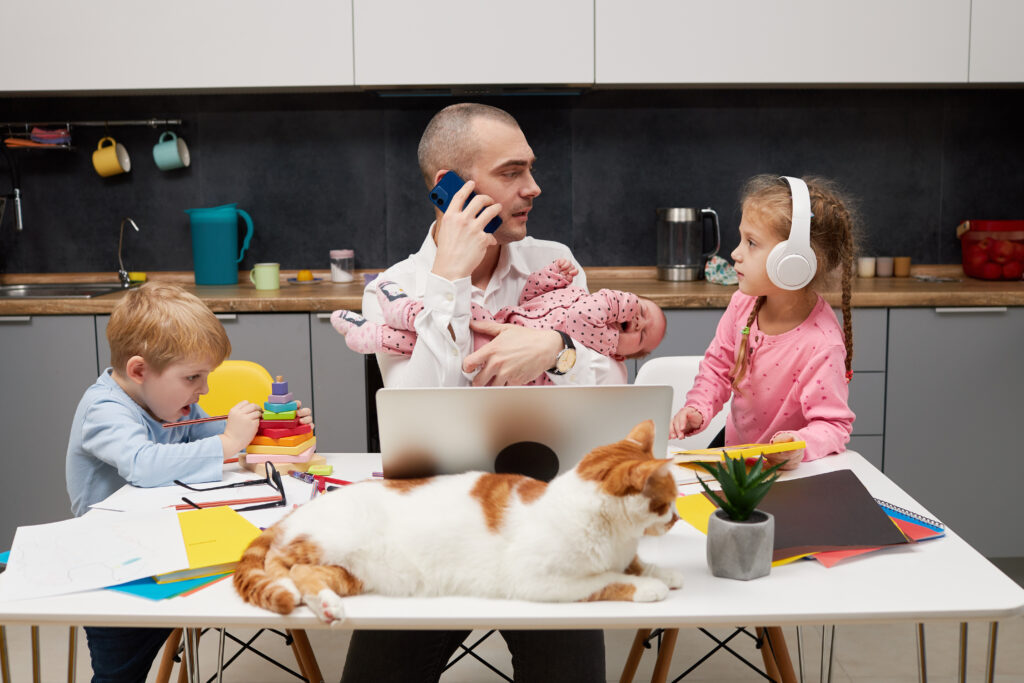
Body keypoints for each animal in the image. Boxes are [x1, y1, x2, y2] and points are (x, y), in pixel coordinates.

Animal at [234, 419, 684, 622]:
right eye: (667, 503)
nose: (678, 520)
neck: (616, 535)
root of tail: (299, 509)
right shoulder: (540, 581)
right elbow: (608, 579)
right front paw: (650, 586)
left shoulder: (624, 552)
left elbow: (634, 563)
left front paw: (662, 571)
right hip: (328, 540)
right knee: (283, 566)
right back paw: (294, 590)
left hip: (351, 573)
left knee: (309, 575)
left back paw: (327, 604)